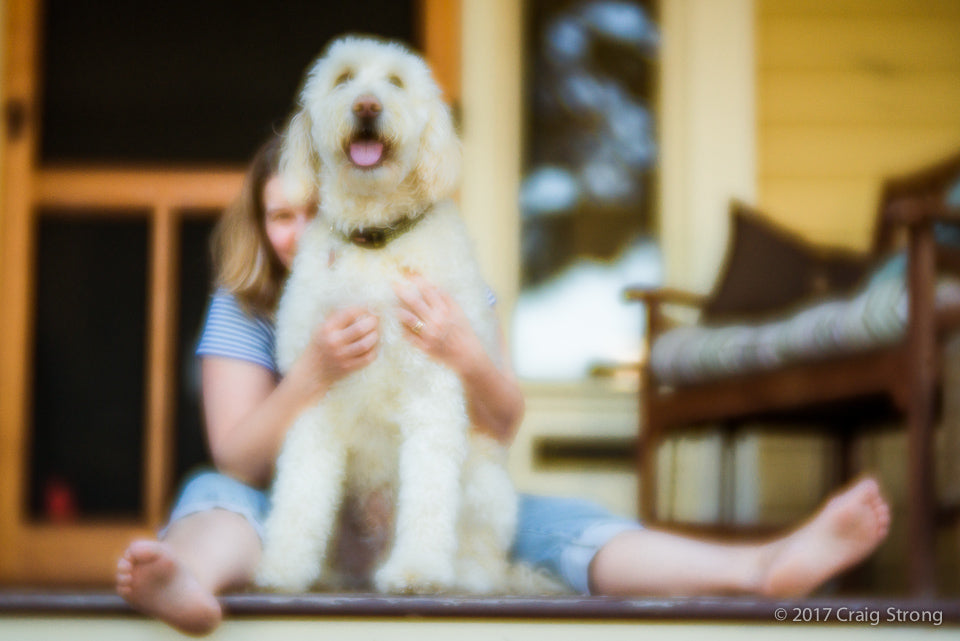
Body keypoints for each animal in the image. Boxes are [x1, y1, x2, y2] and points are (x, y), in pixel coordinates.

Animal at [255, 36, 520, 596]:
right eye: (344, 79)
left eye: (396, 82)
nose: (366, 107)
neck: (374, 241)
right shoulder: (317, 390)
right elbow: (300, 492)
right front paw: (283, 567)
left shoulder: (432, 387)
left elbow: (428, 493)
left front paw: (417, 570)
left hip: (486, 490)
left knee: (483, 561)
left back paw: (460, 577)